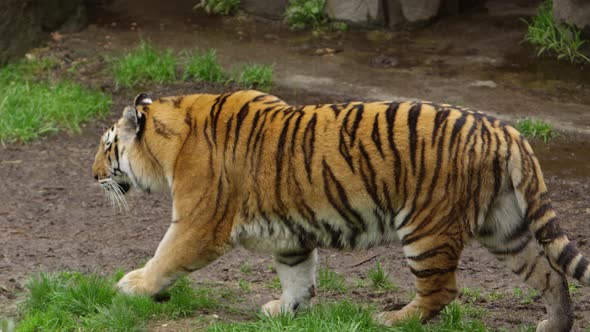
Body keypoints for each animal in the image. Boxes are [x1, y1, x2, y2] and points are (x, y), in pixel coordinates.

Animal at [93, 89, 590, 330]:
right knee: (549, 274)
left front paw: (132, 287)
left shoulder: (198, 223)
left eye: (106, 145)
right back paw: (554, 324)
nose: (93, 174)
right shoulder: (289, 235)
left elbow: (165, 257)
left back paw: (393, 320)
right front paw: (285, 309)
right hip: (504, 228)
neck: (170, 140)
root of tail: (505, 130)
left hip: (426, 229)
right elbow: (297, 275)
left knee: (442, 291)